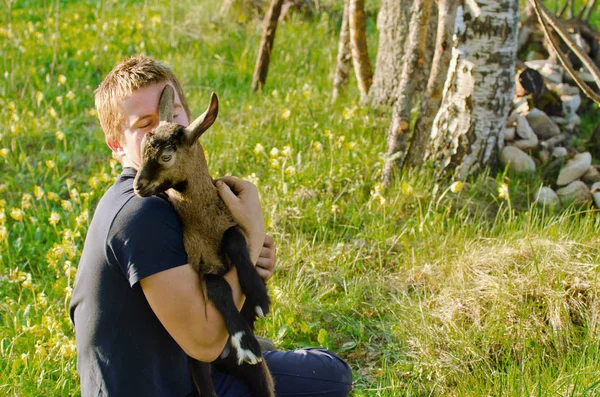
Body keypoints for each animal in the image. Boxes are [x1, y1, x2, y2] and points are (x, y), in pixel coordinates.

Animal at [134, 84, 274, 396]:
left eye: (166, 156)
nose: (138, 186)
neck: (205, 225)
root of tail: (222, 359)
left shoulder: (232, 225)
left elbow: (235, 239)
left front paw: (259, 296)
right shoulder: (199, 263)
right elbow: (218, 286)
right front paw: (246, 343)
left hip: (259, 374)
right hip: (197, 365)